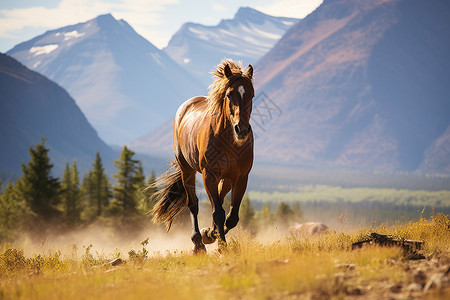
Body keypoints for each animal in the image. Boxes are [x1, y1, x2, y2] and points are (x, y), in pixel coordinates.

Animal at [148, 59, 253, 253]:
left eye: (252, 94)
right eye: (229, 95)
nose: (241, 130)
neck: (228, 141)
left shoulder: (241, 177)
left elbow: (231, 217)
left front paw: (212, 235)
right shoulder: (208, 175)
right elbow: (218, 213)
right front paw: (221, 245)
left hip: (227, 178)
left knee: (219, 198)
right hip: (187, 170)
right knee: (193, 204)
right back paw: (198, 243)